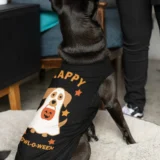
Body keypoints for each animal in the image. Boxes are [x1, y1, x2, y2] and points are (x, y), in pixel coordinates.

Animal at [14, 0, 135, 160]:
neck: (80, 50)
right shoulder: (111, 101)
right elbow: (124, 125)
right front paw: (133, 144)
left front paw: (92, 132)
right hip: (83, 146)